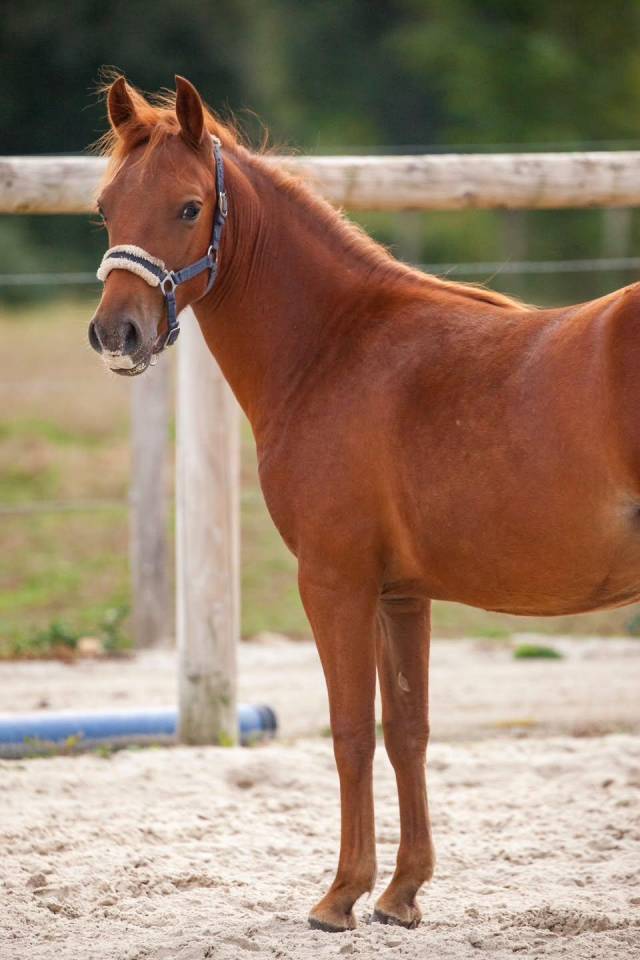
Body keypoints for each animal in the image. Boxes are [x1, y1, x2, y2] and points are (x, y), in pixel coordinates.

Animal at [89, 75, 640, 933]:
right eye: (106, 207)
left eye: (187, 207)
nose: (118, 332)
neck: (337, 347)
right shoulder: (400, 595)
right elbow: (406, 730)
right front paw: (402, 892)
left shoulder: (334, 581)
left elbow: (350, 731)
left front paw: (339, 895)